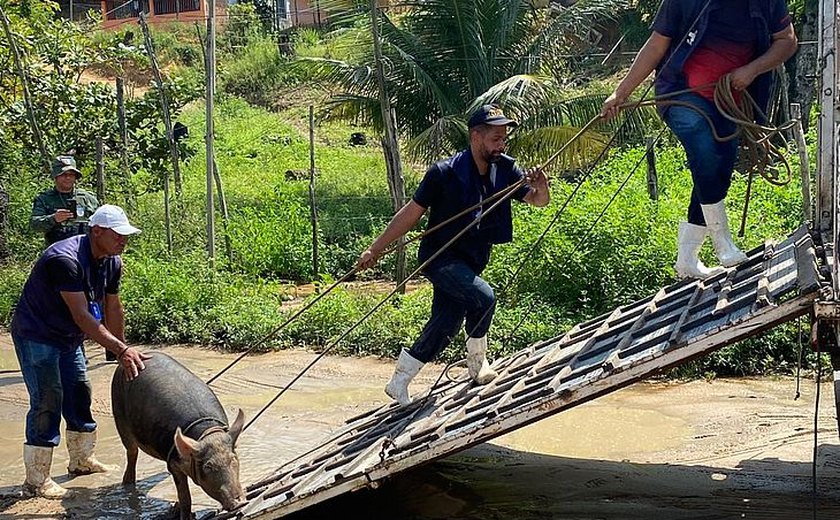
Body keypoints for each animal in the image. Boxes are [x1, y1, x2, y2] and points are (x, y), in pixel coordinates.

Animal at [110, 352, 246, 516]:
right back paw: (127, 483)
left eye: (233, 459)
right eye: (208, 466)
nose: (240, 503)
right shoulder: (173, 463)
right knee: (131, 452)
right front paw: (185, 514)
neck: (207, 433)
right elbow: (186, 497)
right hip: (118, 412)